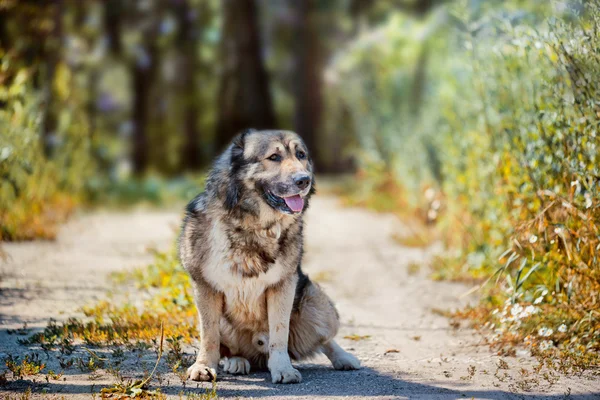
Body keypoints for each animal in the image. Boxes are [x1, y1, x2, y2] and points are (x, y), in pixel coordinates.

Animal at [176, 130, 358, 382]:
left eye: (301, 155)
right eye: (273, 157)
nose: (304, 180)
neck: (254, 226)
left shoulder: (283, 285)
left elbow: (279, 333)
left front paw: (283, 369)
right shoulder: (205, 287)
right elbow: (209, 335)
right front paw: (203, 366)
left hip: (316, 302)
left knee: (325, 340)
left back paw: (344, 358)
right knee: (230, 349)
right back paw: (237, 361)